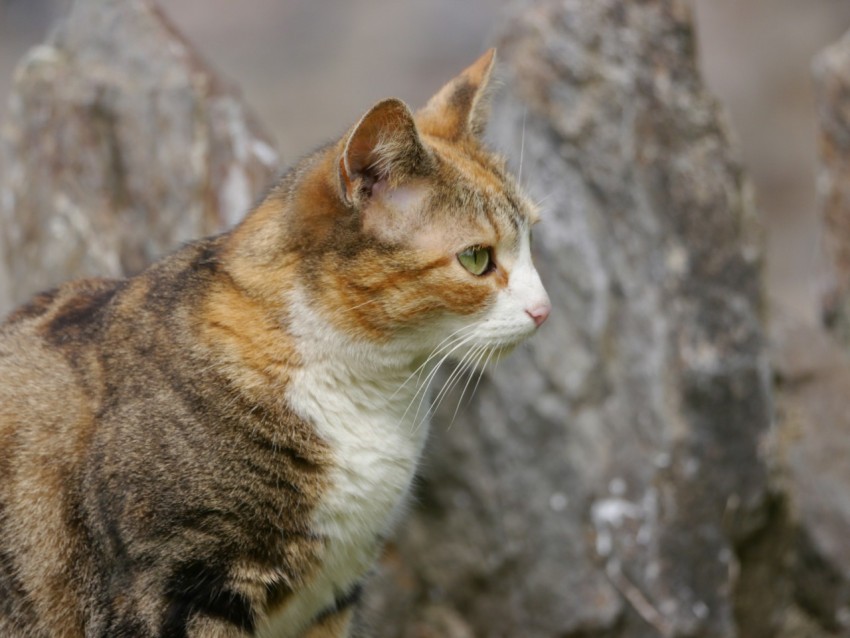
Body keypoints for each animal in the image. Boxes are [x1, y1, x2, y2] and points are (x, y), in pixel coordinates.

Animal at [0, 50, 548, 638]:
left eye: (531, 240)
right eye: (476, 258)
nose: (545, 308)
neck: (368, 389)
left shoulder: (331, 595)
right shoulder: (182, 584)